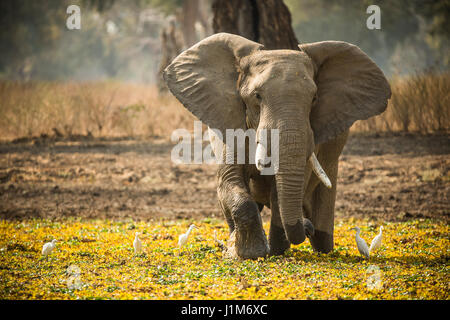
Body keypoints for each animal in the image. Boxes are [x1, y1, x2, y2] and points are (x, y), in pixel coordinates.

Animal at [164, 32, 390, 258]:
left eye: (314, 98)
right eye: (257, 96)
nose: (306, 227)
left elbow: (279, 192)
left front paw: (272, 251)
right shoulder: (230, 123)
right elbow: (230, 180)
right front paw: (249, 253)